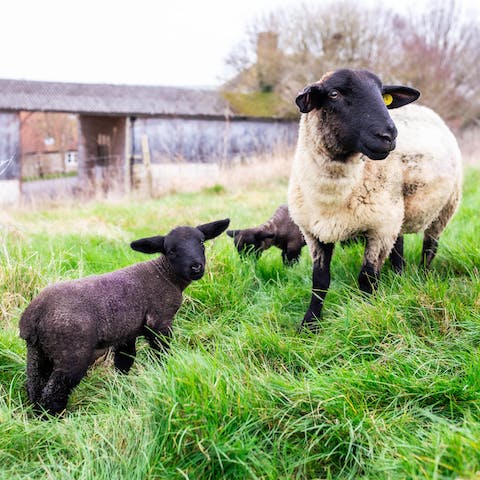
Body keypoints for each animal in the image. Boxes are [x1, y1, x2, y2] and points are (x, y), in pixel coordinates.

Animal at [22, 219, 231, 414]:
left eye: (202, 243)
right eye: (171, 251)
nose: (196, 267)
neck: (165, 274)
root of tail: (33, 315)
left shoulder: (126, 333)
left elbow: (124, 362)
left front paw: (121, 389)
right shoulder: (159, 321)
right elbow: (161, 354)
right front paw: (164, 374)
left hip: (37, 352)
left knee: (34, 385)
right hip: (72, 352)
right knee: (53, 391)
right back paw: (54, 418)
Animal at [286, 68, 464, 330]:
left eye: (382, 96)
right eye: (334, 94)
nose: (389, 135)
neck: (332, 196)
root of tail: (425, 109)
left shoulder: (379, 230)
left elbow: (367, 278)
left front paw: (366, 313)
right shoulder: (314, 232)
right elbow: (319, 281)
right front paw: (309, 324)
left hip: (443, 208)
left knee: (429, 247)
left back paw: (422, 276)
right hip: (395, 214)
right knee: (399, 246)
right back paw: (400, 277)